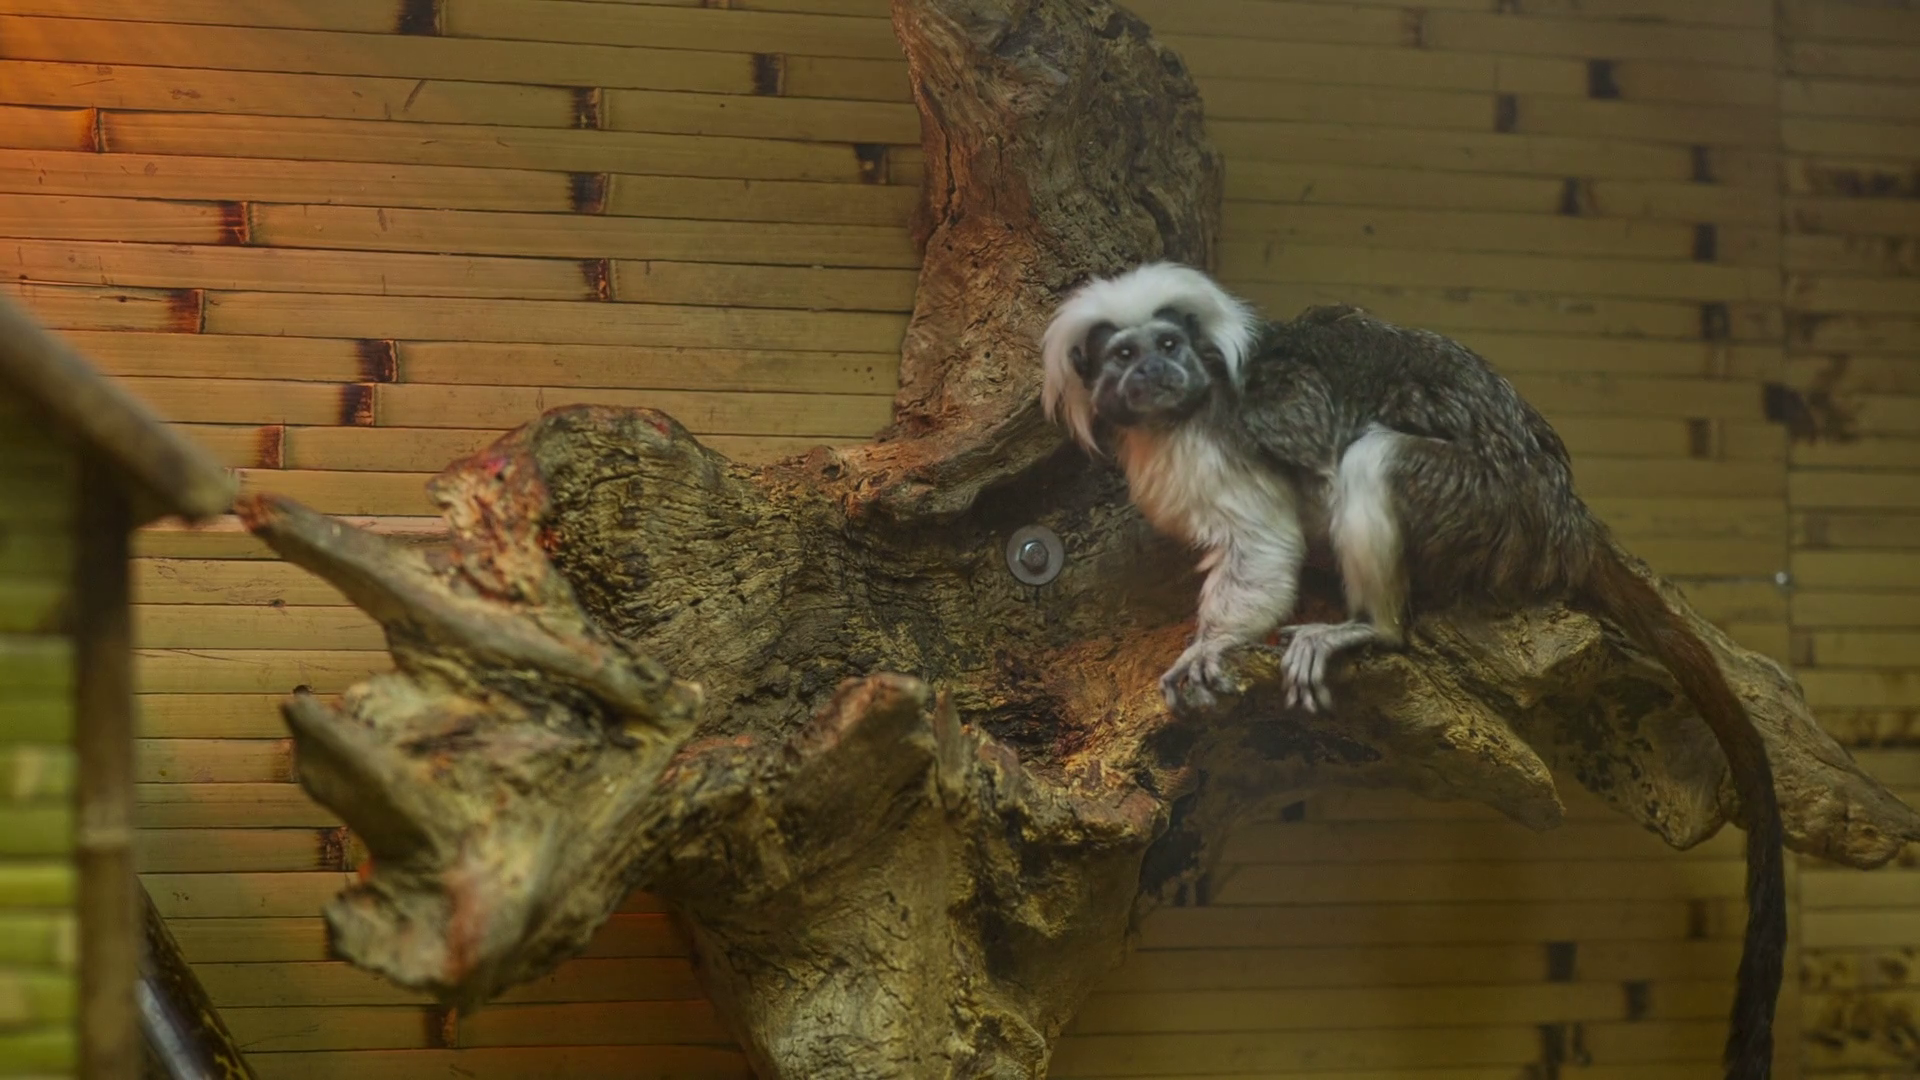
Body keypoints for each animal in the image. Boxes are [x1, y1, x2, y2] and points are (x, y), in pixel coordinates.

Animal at [1040, 261, 1785, 1080]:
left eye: (1168, 345)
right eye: (1122, 356)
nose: (1153, 371)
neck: (1183, 416)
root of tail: (1562, 516)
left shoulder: (1230, 452)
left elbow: (1262, 549)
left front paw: (1211, 646)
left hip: (1482, 503)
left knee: (1377, 458)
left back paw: (1372, 625)